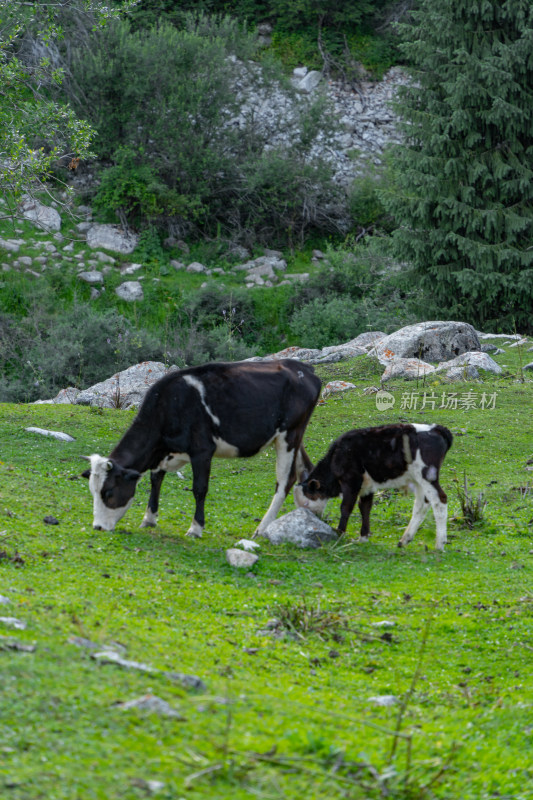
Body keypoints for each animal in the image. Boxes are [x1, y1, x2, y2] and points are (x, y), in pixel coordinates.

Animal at [80, 360, 320, 536]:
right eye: (92, 491)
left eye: (109, 492)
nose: (97, 527)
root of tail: (302, 367)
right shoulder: (164, 453)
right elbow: (155, 480)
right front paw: (149, 518)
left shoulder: (202, 450)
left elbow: (199, 489)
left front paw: (195, 528)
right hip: (294, 438)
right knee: (305, 469)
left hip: (289, 435)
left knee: (285, 482)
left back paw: (261, 529)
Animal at [298, 424, 450, 552]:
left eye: (306, 502)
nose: (309, 518)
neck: (338, 454)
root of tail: (436, 429)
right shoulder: (367, 486)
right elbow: (365, 508)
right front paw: (363, 538)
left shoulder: (351, 481)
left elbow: (346, 507)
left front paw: (339, 532)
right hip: (418, 481)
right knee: (421, 504)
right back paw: (404, 540)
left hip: (427, 476)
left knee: (439, 500)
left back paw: (439, 544)